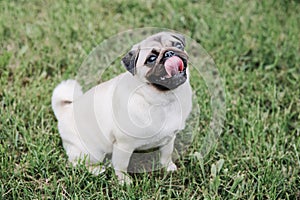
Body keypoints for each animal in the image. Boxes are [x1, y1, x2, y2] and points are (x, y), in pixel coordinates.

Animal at [51, 32, 192, 184]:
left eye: (178, 46)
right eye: (151, 59)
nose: (170, 53)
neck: (163, 100)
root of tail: (65, 110)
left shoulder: (169, 138)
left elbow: (166, 154)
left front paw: (168, 167)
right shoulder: (123, 145)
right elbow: (121, 165)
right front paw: (124, 181)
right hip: (90, 151)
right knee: (77, 162)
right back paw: (96, 170)